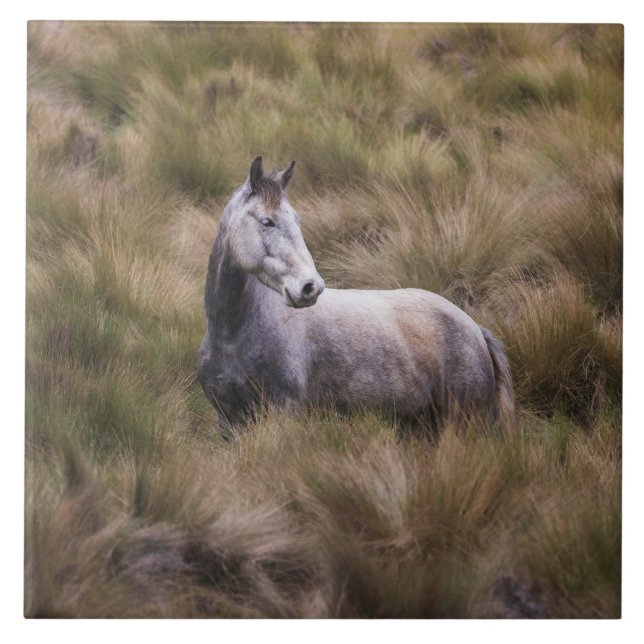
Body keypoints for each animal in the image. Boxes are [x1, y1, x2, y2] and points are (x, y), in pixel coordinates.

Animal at [197, 157, 514, 438]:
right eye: (267, 221)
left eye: (297, 220)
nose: (311, 287)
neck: (232, 336)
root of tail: (475, 329)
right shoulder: (229, 421)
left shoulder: (284, 413)